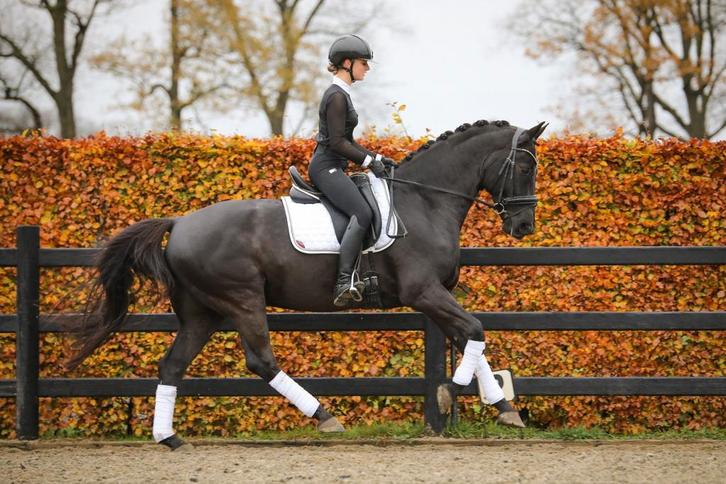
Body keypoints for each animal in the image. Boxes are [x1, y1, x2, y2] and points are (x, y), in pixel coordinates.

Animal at [66, 119, 546, 449]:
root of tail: (180, 222)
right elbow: (475, 332)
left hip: (203, 312)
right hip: (241, 299)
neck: (426, 200)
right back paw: (325, 416)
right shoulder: (424, 293)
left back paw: (168, 438)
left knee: (172, 365)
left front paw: (504, 408)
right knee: (261, 361)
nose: (524, 225)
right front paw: (451, 395)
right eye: (524, 166)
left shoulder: (436, 296)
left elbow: (472, 339)